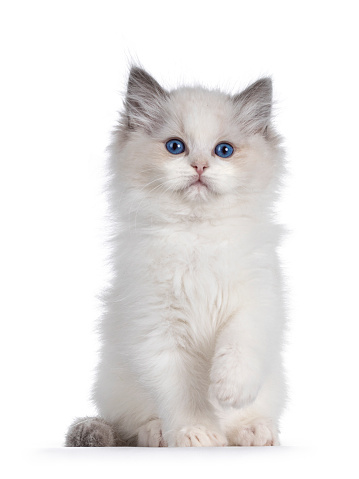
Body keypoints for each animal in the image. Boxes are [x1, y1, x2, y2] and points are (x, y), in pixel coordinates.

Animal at [66, 68, 288, 450]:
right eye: (175, 147)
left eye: (224, 151)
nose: (199, 166)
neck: (197, 236)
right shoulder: (159, 329)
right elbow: (185, 393)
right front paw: (198, 433)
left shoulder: (256, 303)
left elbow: (238, 349)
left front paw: (227, 391)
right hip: (117, 385)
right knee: (134, 423)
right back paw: (160, 434)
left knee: (246, 417)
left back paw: (253, 431)